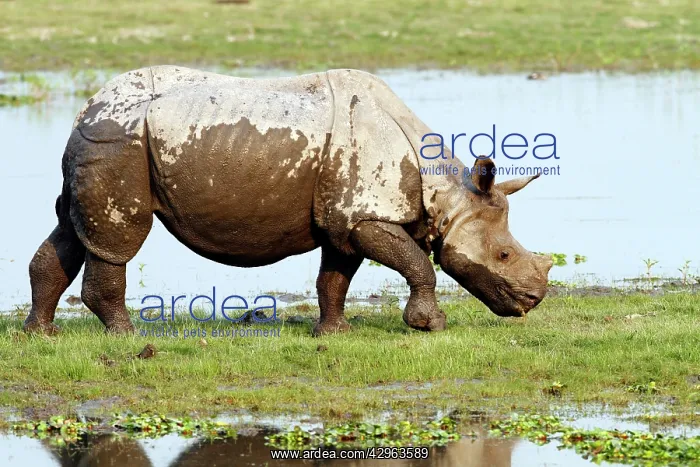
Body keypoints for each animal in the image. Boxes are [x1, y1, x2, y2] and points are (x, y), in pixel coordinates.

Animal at [24, 66, 553, 336]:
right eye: (503, 255)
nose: (533, 300)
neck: (446, 196)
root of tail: (88, 105)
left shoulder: (346, 219)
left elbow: (334, 277)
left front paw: (332, 335)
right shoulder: (365, 215)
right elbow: (418, 264)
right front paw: (430, 326)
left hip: (104, 139)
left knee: (70, 231)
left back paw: (40, 335)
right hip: (122, 140)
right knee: (116, 240)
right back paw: (126, 336)